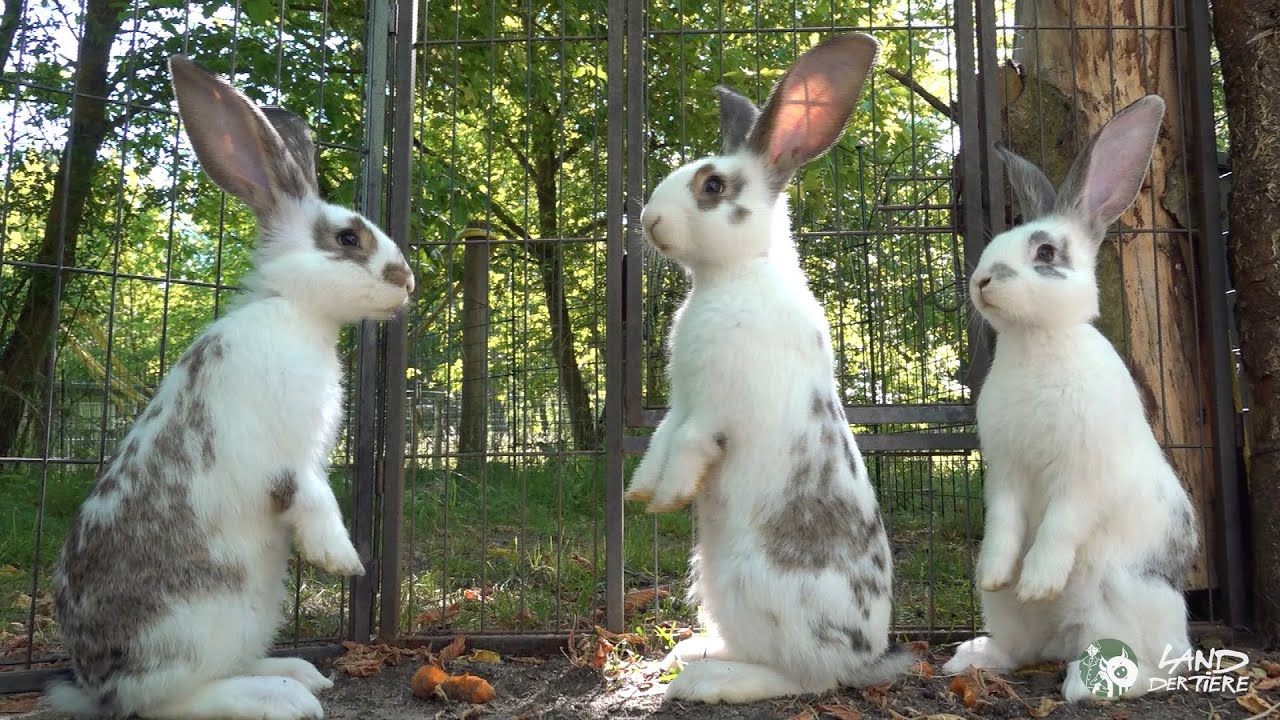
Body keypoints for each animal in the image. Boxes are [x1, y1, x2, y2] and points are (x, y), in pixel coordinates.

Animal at [46, 56, 414, 720]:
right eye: (348, 239)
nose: (408, 281)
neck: (296, 310)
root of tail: (93, 684)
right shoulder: (286, 455)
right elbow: (313, 499)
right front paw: (342, 559)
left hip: (252, 614)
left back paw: (296, 673)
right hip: (195, 626)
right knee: (165, 701)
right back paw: (283, 699)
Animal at [624, 33, 915, 704]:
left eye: (712, 186)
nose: (650, 221)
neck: (731, 276)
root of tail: (865, 656)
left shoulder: (714, 411)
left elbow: (690, 445)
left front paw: (668, 499)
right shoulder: (679, 403)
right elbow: (659, 440)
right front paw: (641, 491)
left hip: (758, 590)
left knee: (803, 677)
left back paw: (706, 681)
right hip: (712, 581)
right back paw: (692, 651)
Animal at [941, 95, 1197, 702]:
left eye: (1045, 252)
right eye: (994, 244)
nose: (982, 280)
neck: (1036, 344)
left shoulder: (1084, 475)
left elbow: (1060, 524)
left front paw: (1037, 581)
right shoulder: (1005, 474)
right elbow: (1005, 524)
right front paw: (1000, 572)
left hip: (1119, 594)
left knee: (1152, 667)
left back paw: (1088, 685)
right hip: (1007, 617)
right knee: (1022, 648)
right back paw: (973, 656)